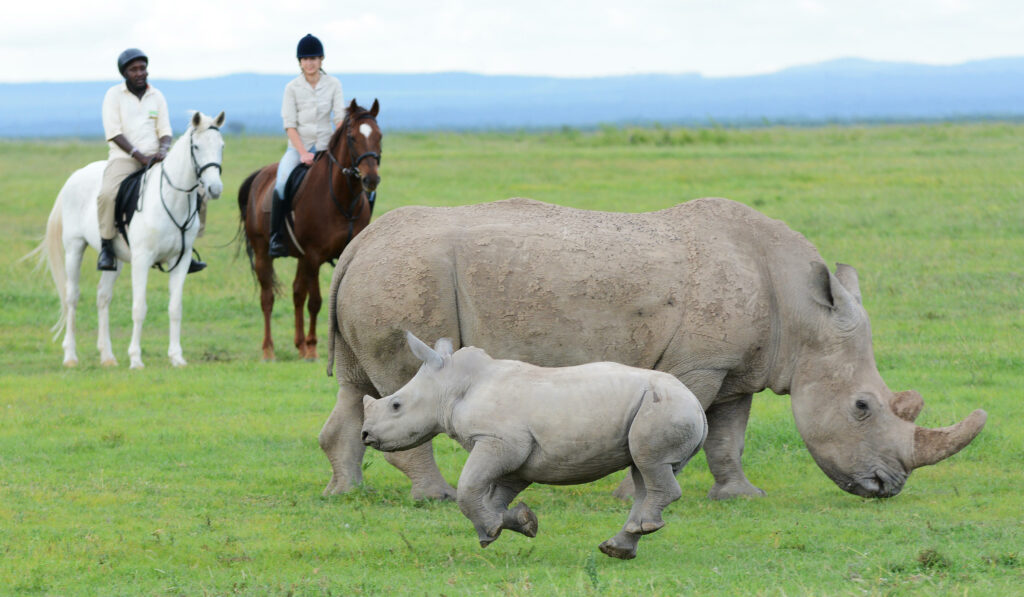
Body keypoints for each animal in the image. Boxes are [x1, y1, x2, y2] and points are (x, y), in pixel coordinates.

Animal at [32, 109, 226, 366]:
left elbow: (175, 308)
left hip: (115, 260)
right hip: (74, 249)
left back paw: (107, 356)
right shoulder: (142, 260)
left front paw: (176, 357)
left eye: (221, 146)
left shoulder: (181, 261)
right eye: (196, 146)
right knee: (71, 298)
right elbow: (139, 308)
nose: (215, 189)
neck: (171, 200)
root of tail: (75, 176)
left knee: (103, 297)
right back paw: (71, 356)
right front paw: (135, 359)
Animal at [238, 99, 380, 360]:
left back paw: (299, 345)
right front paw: (313, 348)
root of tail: (260, 175)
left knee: (296, 293)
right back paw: (269, 350)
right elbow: (315, 301)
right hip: (263, 253)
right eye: (353, 137)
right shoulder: (313, 256)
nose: (371, 179)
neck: (342, 200)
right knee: (268, 298)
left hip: (300, 258)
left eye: (379, 135)